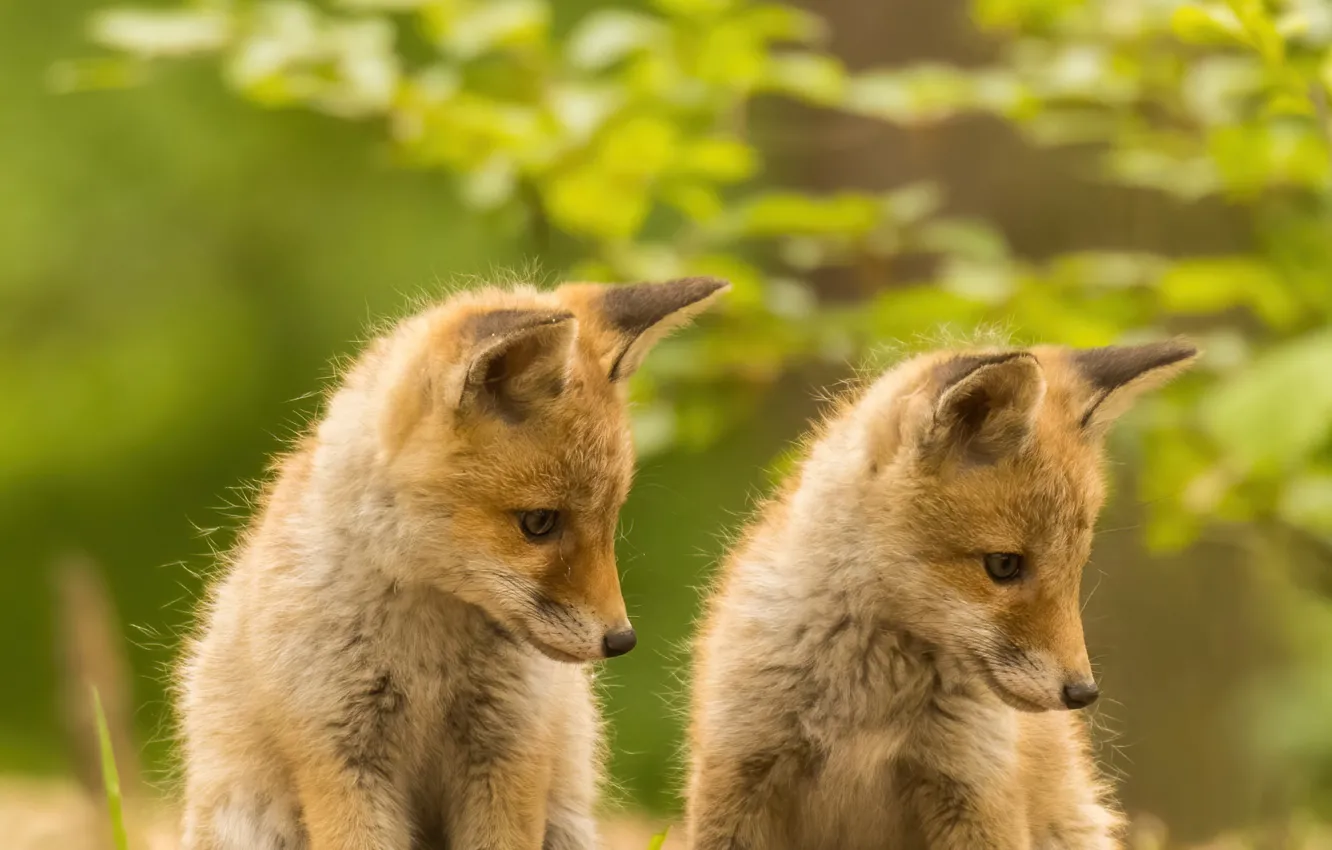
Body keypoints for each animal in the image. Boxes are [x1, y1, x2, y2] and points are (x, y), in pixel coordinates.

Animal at [175, 277, 728, 850]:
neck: (426, 649)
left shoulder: (509, 746)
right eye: (539, 522)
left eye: (610, 518)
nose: (621, 640)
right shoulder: (339, 751)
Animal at [685, 340, 1198, 850]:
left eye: (1075, 567)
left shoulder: (974, 788)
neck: (866, 708)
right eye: (1004, 565)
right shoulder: (739, 768)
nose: (1082, 692)